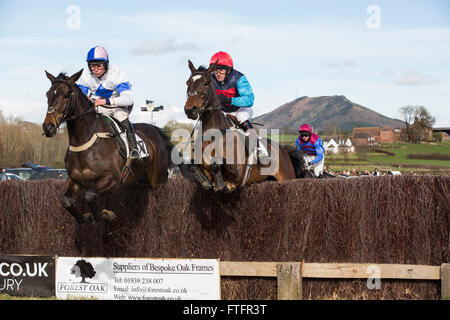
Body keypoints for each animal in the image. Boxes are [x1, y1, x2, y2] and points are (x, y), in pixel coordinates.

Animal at [42, 69, 175, 225]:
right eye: (48, 94)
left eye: (66, 95)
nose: (48, 126)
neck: (86, 142)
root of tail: (156, 130)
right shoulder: (74, 179)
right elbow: (66, 201)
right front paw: (85, 218)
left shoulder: (112, 179)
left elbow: (89, 196)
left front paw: (104, 215)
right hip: (138, 180)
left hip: (157, 180)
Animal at [184, 60, 306, 192]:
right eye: (188, 83)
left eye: (206, 83)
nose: (190, 109)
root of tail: (285, 152)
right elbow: (193, 166)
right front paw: (207, 183)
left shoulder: (237, 172)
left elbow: (216, 165)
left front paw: (220, 184)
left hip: (286, 177)